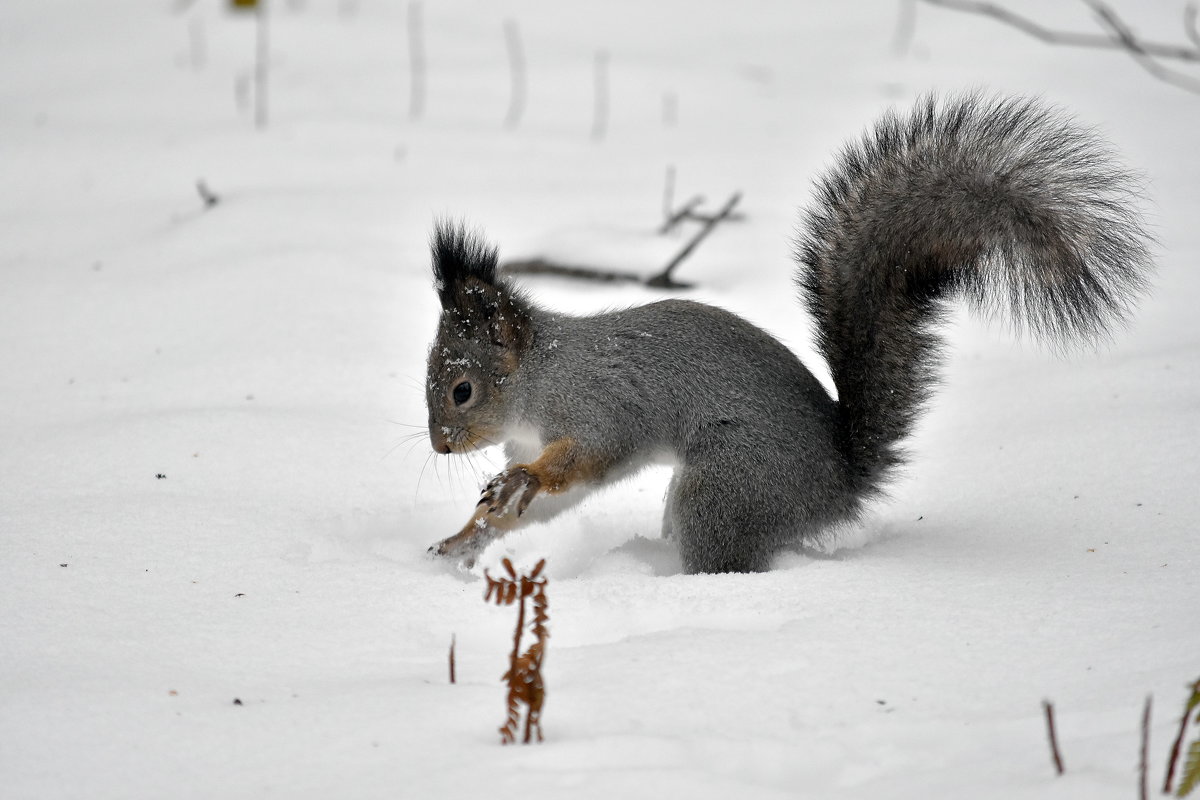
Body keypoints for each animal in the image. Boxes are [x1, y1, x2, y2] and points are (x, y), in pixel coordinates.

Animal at [422, 94, 1152, 575]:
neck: (538, 379)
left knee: (726, 559)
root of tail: (839, 485)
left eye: (461, 390)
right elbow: (531, 507)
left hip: (728, 486)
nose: (440, 446)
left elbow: (584, 459)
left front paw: (522, 483)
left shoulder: (603, 404)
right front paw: (466, 535)